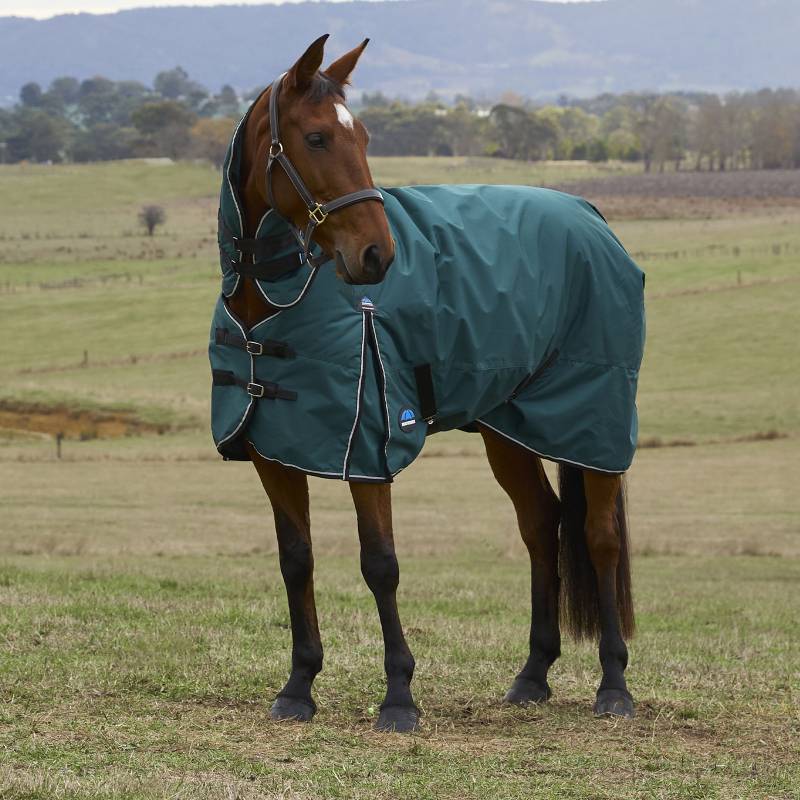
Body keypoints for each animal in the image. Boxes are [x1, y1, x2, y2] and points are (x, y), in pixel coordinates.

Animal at [220, 34, 639, 733]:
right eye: (315, 138)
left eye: (363, 134)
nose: (377, 256)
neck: (276, 302)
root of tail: (590, 215)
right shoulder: (273, 452)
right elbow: (295, 559)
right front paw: (299, 685)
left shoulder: (369, 449)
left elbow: (380, 564)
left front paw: (398, 696)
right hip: (509, 430)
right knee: (541, 526)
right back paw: (532, 675)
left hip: (593, 424)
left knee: (598, 537)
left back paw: (614, 685)